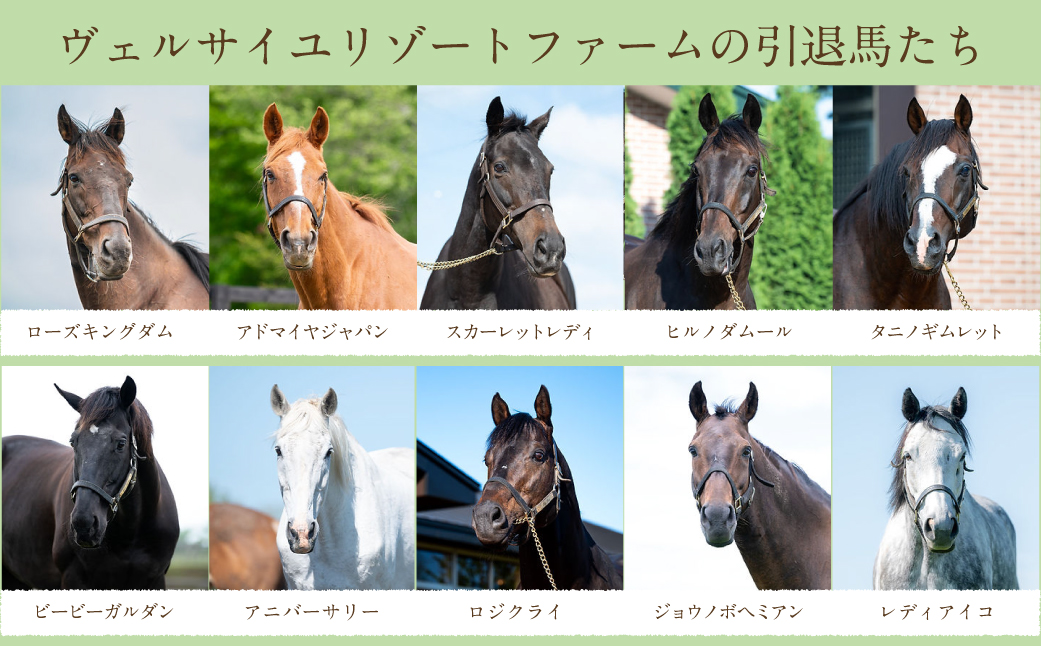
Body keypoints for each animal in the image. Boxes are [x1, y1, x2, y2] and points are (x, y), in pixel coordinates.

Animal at [1, 376, 179, 589]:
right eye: (73, 442)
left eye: (121, 444)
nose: (83, 524)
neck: (130, 535)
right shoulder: (74, 578)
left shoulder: (155, 579)